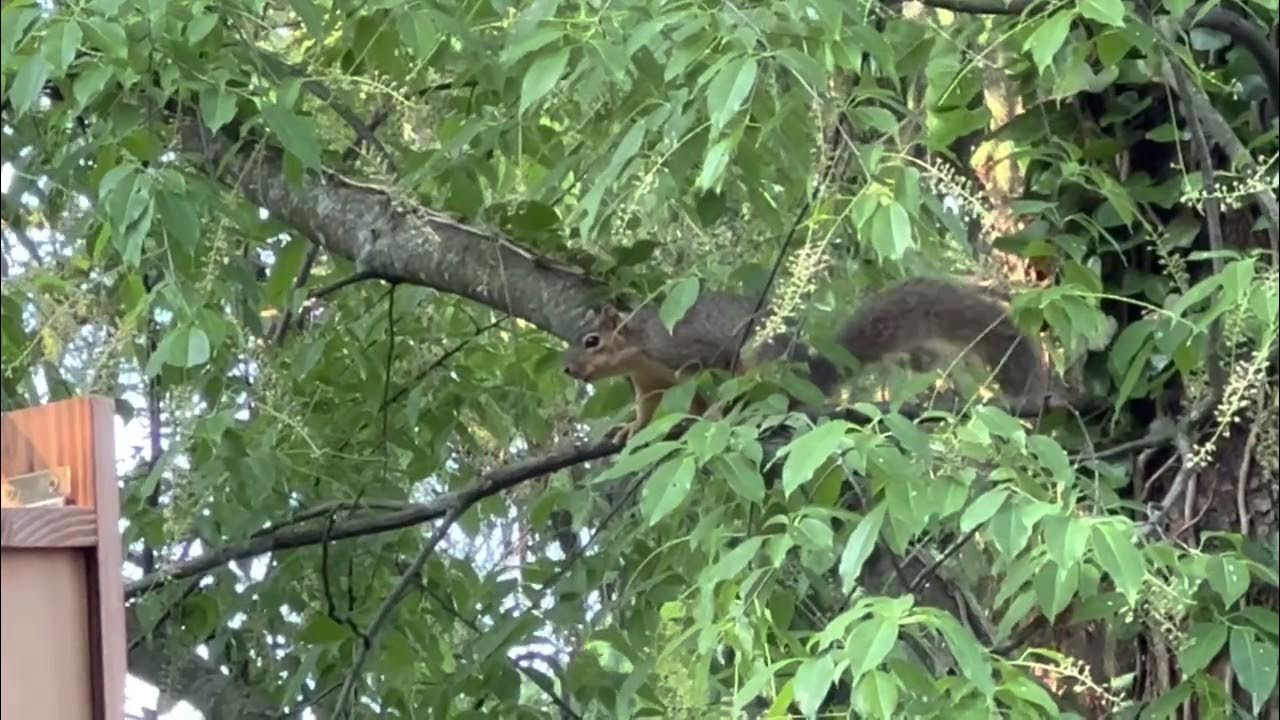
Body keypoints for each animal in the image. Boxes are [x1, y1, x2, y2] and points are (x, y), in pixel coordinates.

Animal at [563, 277, 1061, 440]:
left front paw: (716, 412)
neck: (640, 352)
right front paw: (630, 429)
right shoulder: (648, 385)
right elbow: (647, 412)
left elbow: (709, 382)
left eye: (591, 341)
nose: (568, 369)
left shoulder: (688, 352)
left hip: (766, 368)